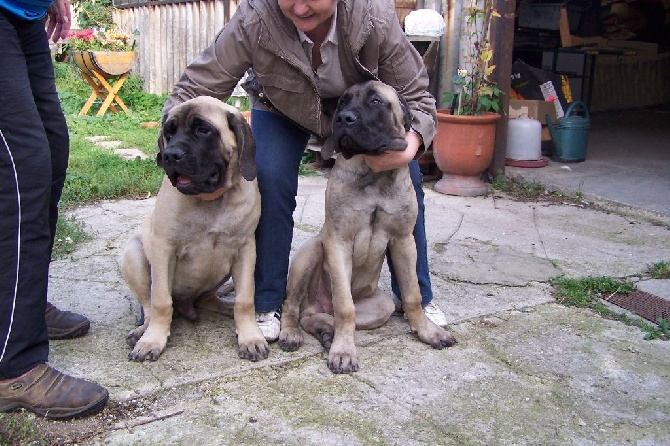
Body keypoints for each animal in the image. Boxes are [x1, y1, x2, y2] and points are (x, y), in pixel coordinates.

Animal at [121, 96, 268, 362]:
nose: (170, 155)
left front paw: (250, 337)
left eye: (203, 130)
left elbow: (245, 299)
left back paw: (226, 307)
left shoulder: (245, 249)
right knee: (149, 305)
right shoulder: (163, 248)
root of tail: (186, 305)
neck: (212, 200)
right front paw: (152, 340)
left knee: (208, 299)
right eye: (169, 133)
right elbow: (160, 301)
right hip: (133, 254)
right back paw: (142, 332)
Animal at [276, 80, 456, 372]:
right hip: (311, 251)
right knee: (296, 307)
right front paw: (344, 351)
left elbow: (412, 294)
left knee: (317, 316)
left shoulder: (404, 240)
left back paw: (327, 332)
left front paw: (427, 331)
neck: (374, 175)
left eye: (376, 102)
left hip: (381, 306)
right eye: (342, 102)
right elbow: (344, 306)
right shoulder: (338, 243)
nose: (344, 118)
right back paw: (293, 333)